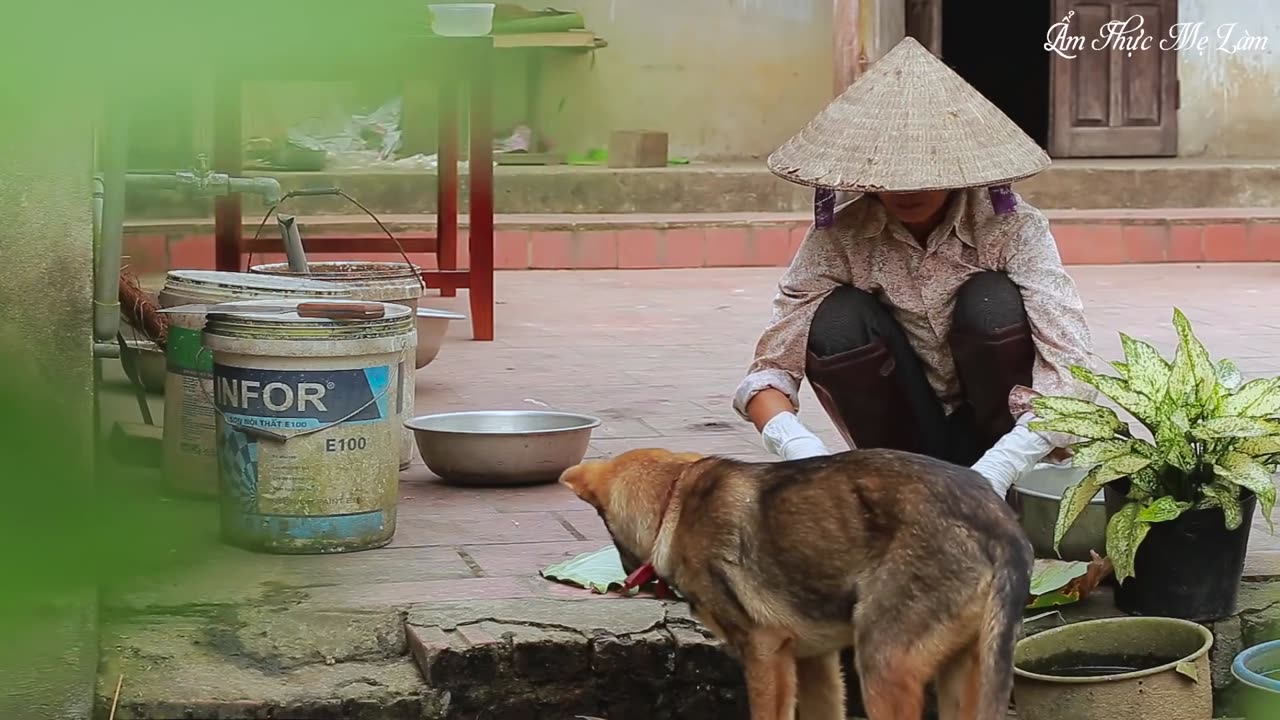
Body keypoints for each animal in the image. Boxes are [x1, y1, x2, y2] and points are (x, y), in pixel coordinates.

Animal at [558, 445, 1029, 712]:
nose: (624, 579)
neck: (675, 498)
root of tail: (1000, 525)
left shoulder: (765, 653)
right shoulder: (815, 662)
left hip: (884, 667)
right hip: (965, 672)